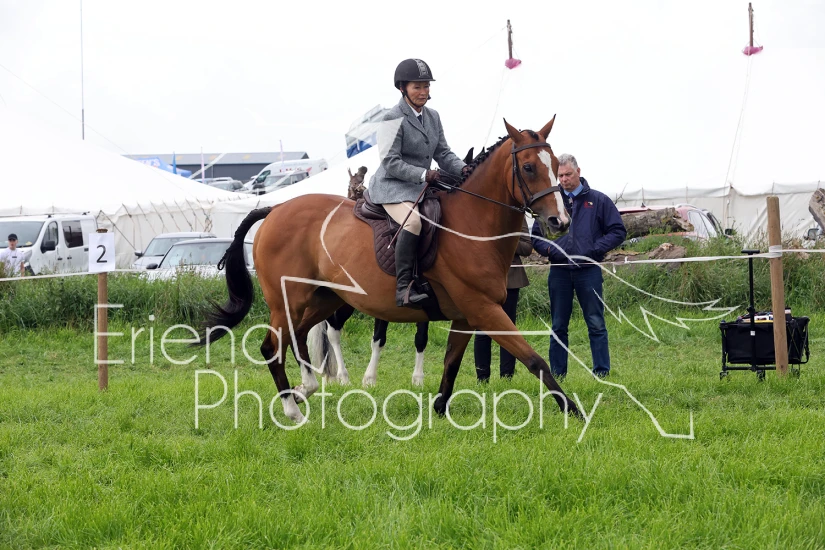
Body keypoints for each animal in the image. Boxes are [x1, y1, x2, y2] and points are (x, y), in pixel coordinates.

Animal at [198, 117, 579, 423]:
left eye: (556, 164)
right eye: (528, 168)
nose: (560, 222)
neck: (472, 224)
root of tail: (275, 209)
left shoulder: (466, 316)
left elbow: (450, 364)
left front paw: (438, 412)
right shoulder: (484, 310)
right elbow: (535, 361)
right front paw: (574, 412)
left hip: (323, 299)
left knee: (299, 337)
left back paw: (305, 389)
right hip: (288, 301)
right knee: (273, 347)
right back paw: (294, 410)